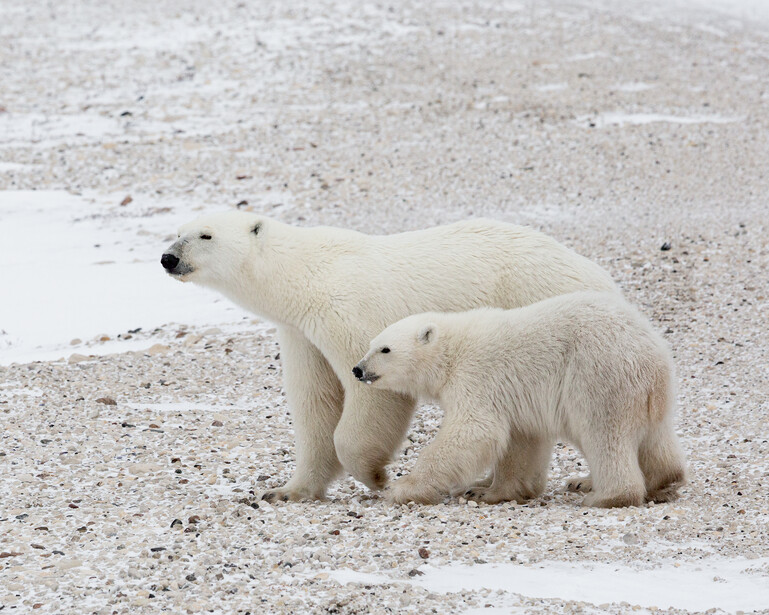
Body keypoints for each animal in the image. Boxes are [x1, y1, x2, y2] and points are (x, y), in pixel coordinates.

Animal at [161, 210, 620, 502]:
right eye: (177, 230)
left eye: (206, 235)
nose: (169, 258)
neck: (304, 275)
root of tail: (601, 277)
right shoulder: (301, 333)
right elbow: (316, 403)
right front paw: (286, 490)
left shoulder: (349, 310)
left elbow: (372, 393)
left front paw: (376, 475)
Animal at [353, 291, 687, 507]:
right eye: (371, 344)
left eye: (385, 349)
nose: (358, 369)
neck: (452, 351)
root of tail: (652, 355)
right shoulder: (516, 399)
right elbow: (522, 441)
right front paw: (487, 488)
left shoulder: (478, 377)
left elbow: (473, 431)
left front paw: (403, 488)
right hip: (648, 392)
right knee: (654, 436)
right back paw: (652, 480)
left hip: (597, 375)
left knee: (602, 433)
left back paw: (605, 495)